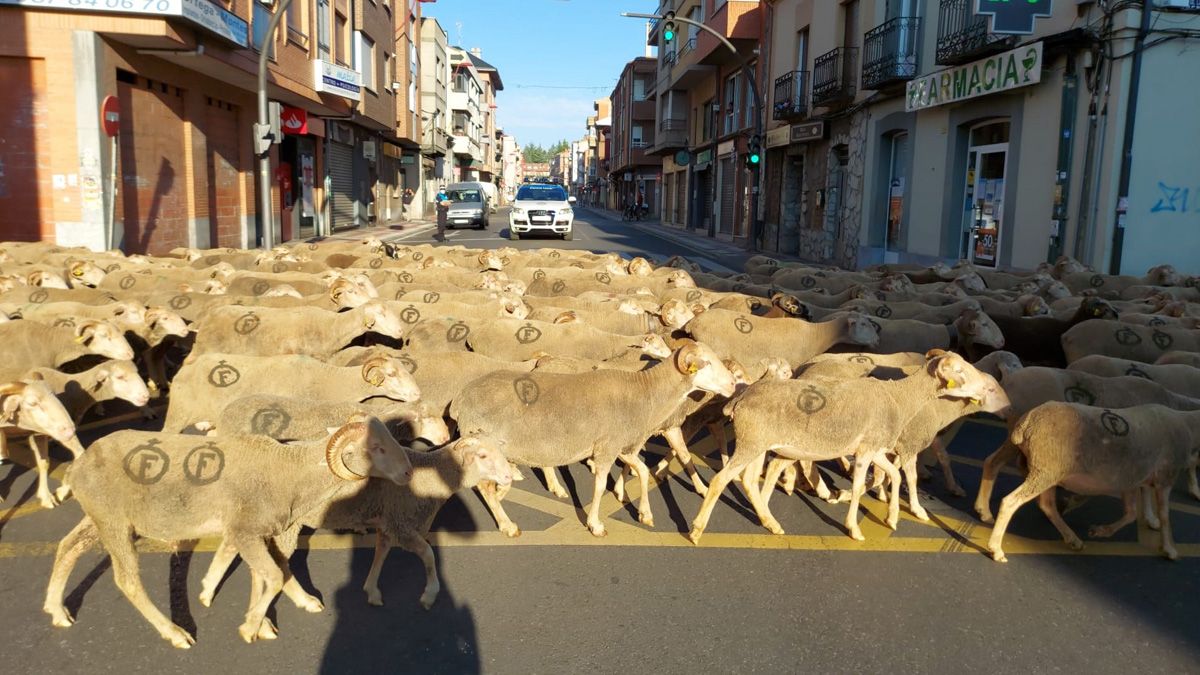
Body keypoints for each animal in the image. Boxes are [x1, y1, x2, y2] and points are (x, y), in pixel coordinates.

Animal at [42, 417, 414, 647]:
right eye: (377, 448)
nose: (409, 473)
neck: (288, 472)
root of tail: (78, 464)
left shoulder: (258, 532)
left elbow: (270, 573)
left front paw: (281, 612)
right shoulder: (244, 531)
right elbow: (273, 576)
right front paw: (251, 627)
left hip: (98, 518)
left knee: (68, 546)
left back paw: (56, 610)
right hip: (114, 522)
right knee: (128, 581)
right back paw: (175, 633)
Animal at [197, 436, 510, 615]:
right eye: (483, 456)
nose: (509, 476)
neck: (432, 475)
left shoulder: (389, 523)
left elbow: (381, 553)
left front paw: (371, 591)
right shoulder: (402, 524)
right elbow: (429, 555)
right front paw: (429, 595)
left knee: (234, 545)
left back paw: (208, 591)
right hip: (282, 525)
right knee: (274, 564)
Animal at [450, 341, 737, 537]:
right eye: (706, 363)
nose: (733, 384)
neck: (645, 393)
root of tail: (462, 398)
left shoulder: (622, 446)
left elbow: (643, 471)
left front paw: (644, 513)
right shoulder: (607, 449)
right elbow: (599, 486)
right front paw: (595, 524)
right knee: (485, 488)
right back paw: (507, 524)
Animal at [689, 351, 1008, 543]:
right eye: (960, 371)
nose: (983, 390)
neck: (900, 397)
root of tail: (742, 396)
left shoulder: (876, 447)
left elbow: (894, 475)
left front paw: (892, 517)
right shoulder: (866, 451)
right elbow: (859, 486)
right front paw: (854, 527)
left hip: (758, 444)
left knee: (749, 480)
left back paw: (770, 522)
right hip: (751, 443)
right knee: (720, 480)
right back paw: (697, 530)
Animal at [984, 402, 1199, 562]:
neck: (1189, 426)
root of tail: (1026, 422)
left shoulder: (1129, 479)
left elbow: (1131, 513)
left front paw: (1102, 531)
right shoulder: (1166, 476)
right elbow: (1165, 515)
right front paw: (1170, 549)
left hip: (1048, 470)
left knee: (1046, 504)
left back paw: (1072, 539)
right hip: (1045, 469)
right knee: (1010, 502)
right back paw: (996, 549)